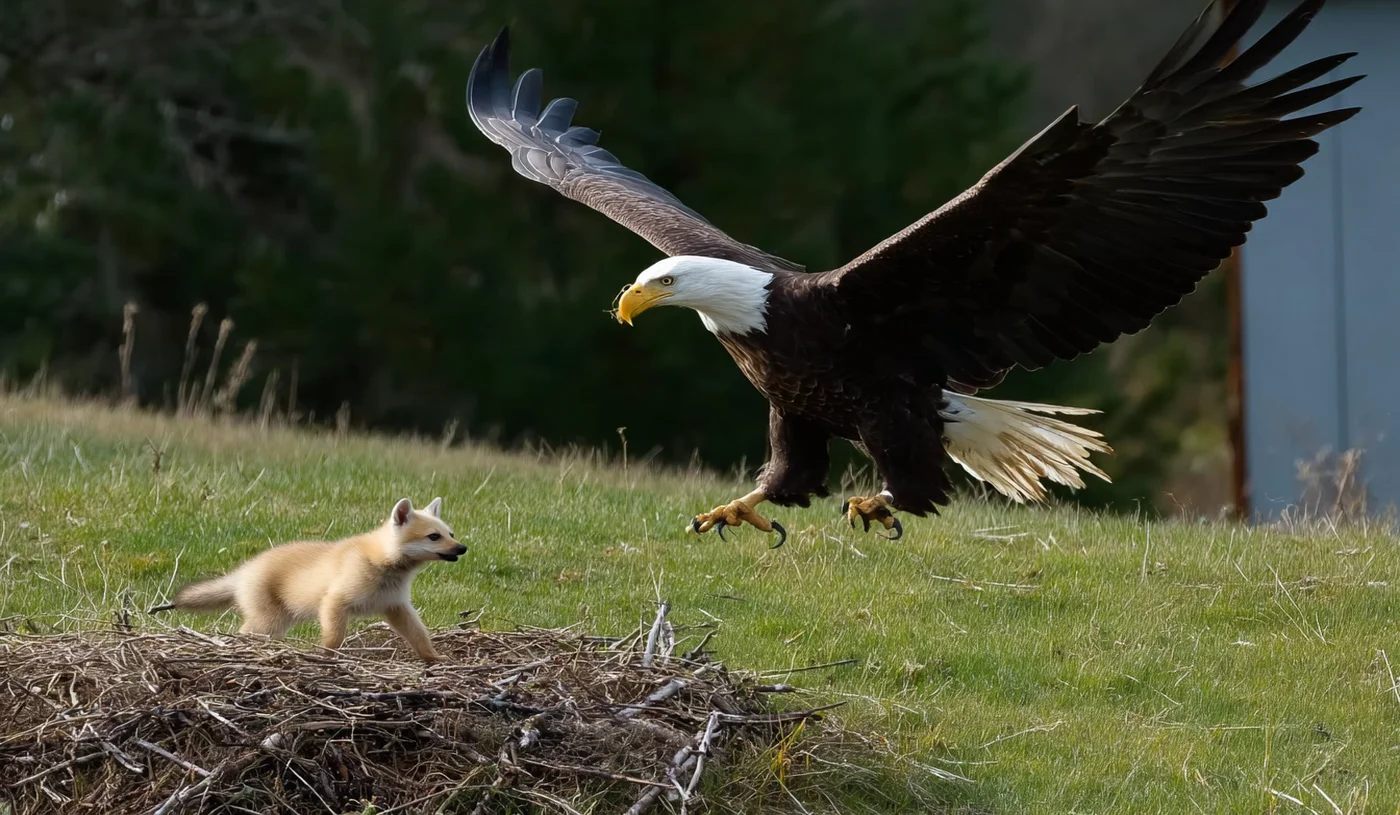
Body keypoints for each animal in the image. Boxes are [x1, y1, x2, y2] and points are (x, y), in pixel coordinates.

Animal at [150, 496, 467, 662]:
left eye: (450, 533)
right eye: (434, 536)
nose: (463, 548)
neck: (382, 565)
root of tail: (242, 572)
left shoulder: (397, 607)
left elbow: (419, 636)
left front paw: (435, 659)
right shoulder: (335, 603)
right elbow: (333, 640)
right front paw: (325, 658)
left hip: (277, 624)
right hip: (268, 623)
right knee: (242, 635)